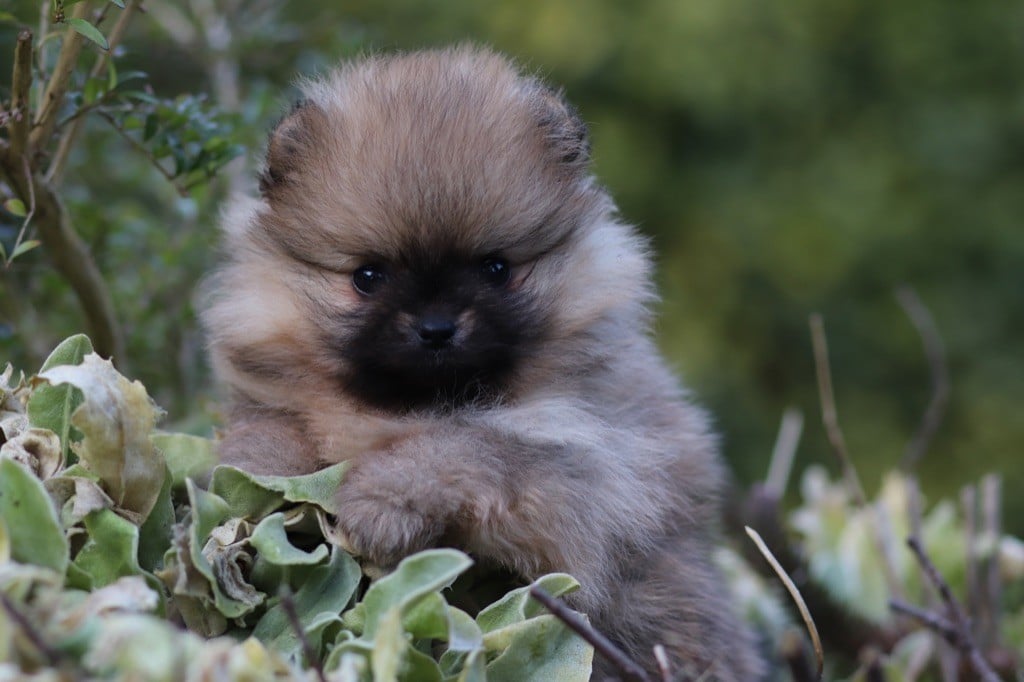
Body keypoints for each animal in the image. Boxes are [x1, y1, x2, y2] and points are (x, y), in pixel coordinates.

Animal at [201, 45, 761, 675]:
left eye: (495, 268)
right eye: (368, 277)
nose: (436, 327)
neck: (412, 407)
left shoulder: (582, 463)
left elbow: (460, 447)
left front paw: (381, 502)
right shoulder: (274, 396)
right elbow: (271, 432)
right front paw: (257, 472)